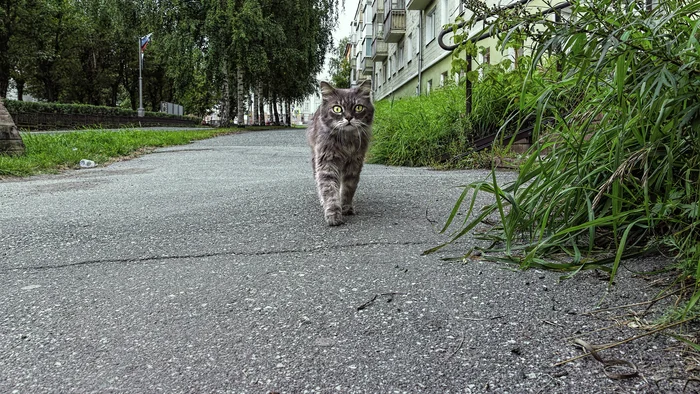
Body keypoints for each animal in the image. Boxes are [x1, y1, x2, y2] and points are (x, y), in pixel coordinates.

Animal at [304, 79, 372, 225]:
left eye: (358, 107)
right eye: (337, 109)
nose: (349, 118)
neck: (346, 141)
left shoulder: (354, 163)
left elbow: (348, 188)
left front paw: (345, 207)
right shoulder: (327, 162)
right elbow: (329, 189)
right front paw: (333, 214)